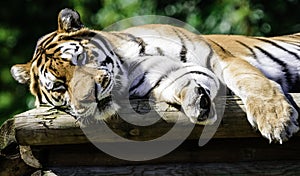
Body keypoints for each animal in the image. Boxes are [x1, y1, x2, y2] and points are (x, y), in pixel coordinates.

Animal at [10, 7, 298, 144]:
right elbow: (181, 83)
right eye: (59, 86)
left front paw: (277, 121)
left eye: (79, 59)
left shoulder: (218, 58)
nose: (90, 97)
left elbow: (253, 82)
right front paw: (198, 102)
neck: (128, 66)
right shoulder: (164, 75)